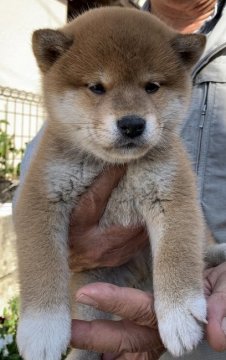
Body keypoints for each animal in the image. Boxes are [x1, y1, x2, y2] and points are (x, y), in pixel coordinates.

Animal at [13, 5, 226, 360]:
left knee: (202, 249)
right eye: (97, 87)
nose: (132, 124)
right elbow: (42, 264)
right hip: (89, 289)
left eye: (152, 86)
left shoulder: (173, 191)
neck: (117, 166)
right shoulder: (41, 197)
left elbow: (178, 252)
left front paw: (179, 314)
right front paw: (42, 329)